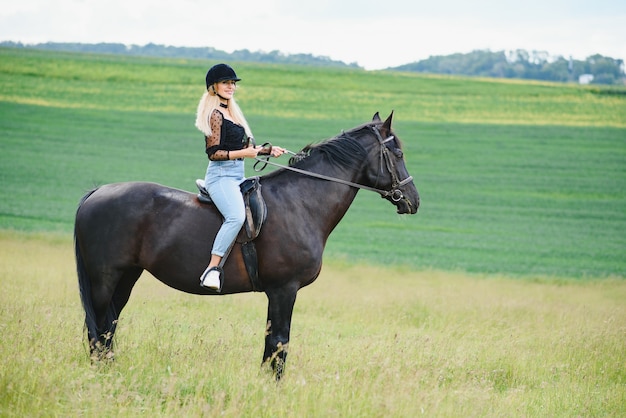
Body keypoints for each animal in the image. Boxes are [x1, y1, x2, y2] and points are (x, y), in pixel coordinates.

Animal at [74, 112, 420, 378]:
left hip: (126, 277)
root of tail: (96, 192)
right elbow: (279, 343)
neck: (301, 202)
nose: (413, 200)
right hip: (104, 280)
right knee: (97, 329)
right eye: (398, 155)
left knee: (107, 328)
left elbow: (271, 345)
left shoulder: (277, 293)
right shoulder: (284, 289)